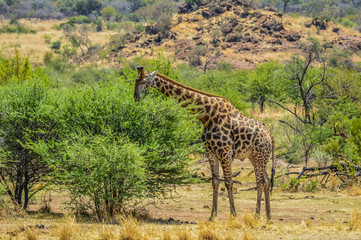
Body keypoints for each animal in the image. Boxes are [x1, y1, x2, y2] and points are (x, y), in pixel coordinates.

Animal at [134, 65, 274, 219]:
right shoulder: (211, 152)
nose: (136, 97)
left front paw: (233, 215)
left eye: (144, 81)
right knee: (267, 180)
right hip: (255, 157)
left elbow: (228, 182)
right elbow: (215, 182)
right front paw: (212, 216)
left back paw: (257, 215)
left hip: (260, 156)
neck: (207, 116)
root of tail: (271, 137)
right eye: (136, 80)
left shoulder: (224, 153)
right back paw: (268, 216)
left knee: (260, 182)